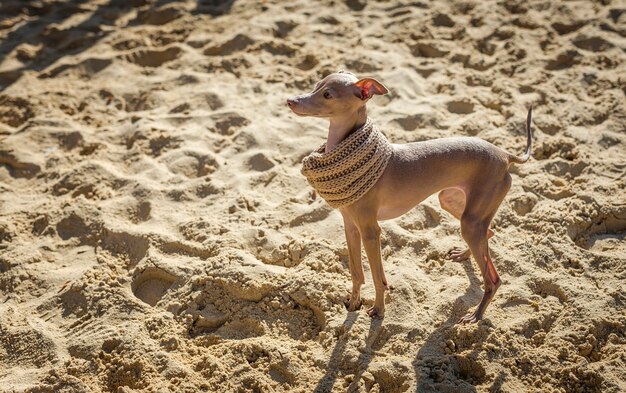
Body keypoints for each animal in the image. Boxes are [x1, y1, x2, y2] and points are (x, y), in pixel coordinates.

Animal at [286, 70, 528, 322]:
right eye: (316, 85)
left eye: (327, 94)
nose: (290, 101)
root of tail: (505, 155)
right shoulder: (350, 226)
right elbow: (356, 272)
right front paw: (353, 304)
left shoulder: (370, 231)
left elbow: (378, 277)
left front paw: (379, 310)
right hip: (453, 203)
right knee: (488, 233)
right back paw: (463, 255)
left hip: (471, 219)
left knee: (494, 278)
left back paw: (476, 316)